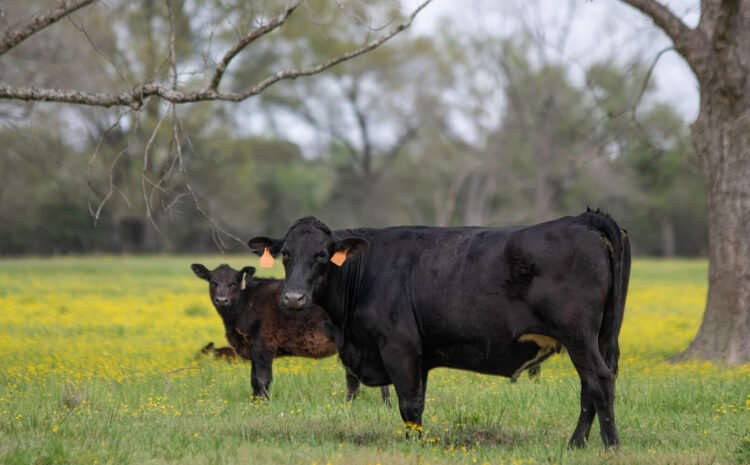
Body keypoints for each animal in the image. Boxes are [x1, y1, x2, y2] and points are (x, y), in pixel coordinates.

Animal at [191, 263, 390, 404]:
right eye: (213, 283)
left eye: (233, 283)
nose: (221, 300)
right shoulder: (253, 349)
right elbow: (254, 380)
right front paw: (255, 403)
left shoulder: (263, 346)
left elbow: (262, 379)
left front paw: (264, 405)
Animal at [247, 209, 630, 448]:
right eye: (286, 255)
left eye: (323, 256)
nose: (294, 298)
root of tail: (582, 219)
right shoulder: (419, 354)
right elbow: (417, 403)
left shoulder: (398, 346)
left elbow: (408, 403)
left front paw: (412, 446)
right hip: (595, 337)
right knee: (590, 387)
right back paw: (575, 445)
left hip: (579, 336)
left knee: (599, 381)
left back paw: (610, 446)